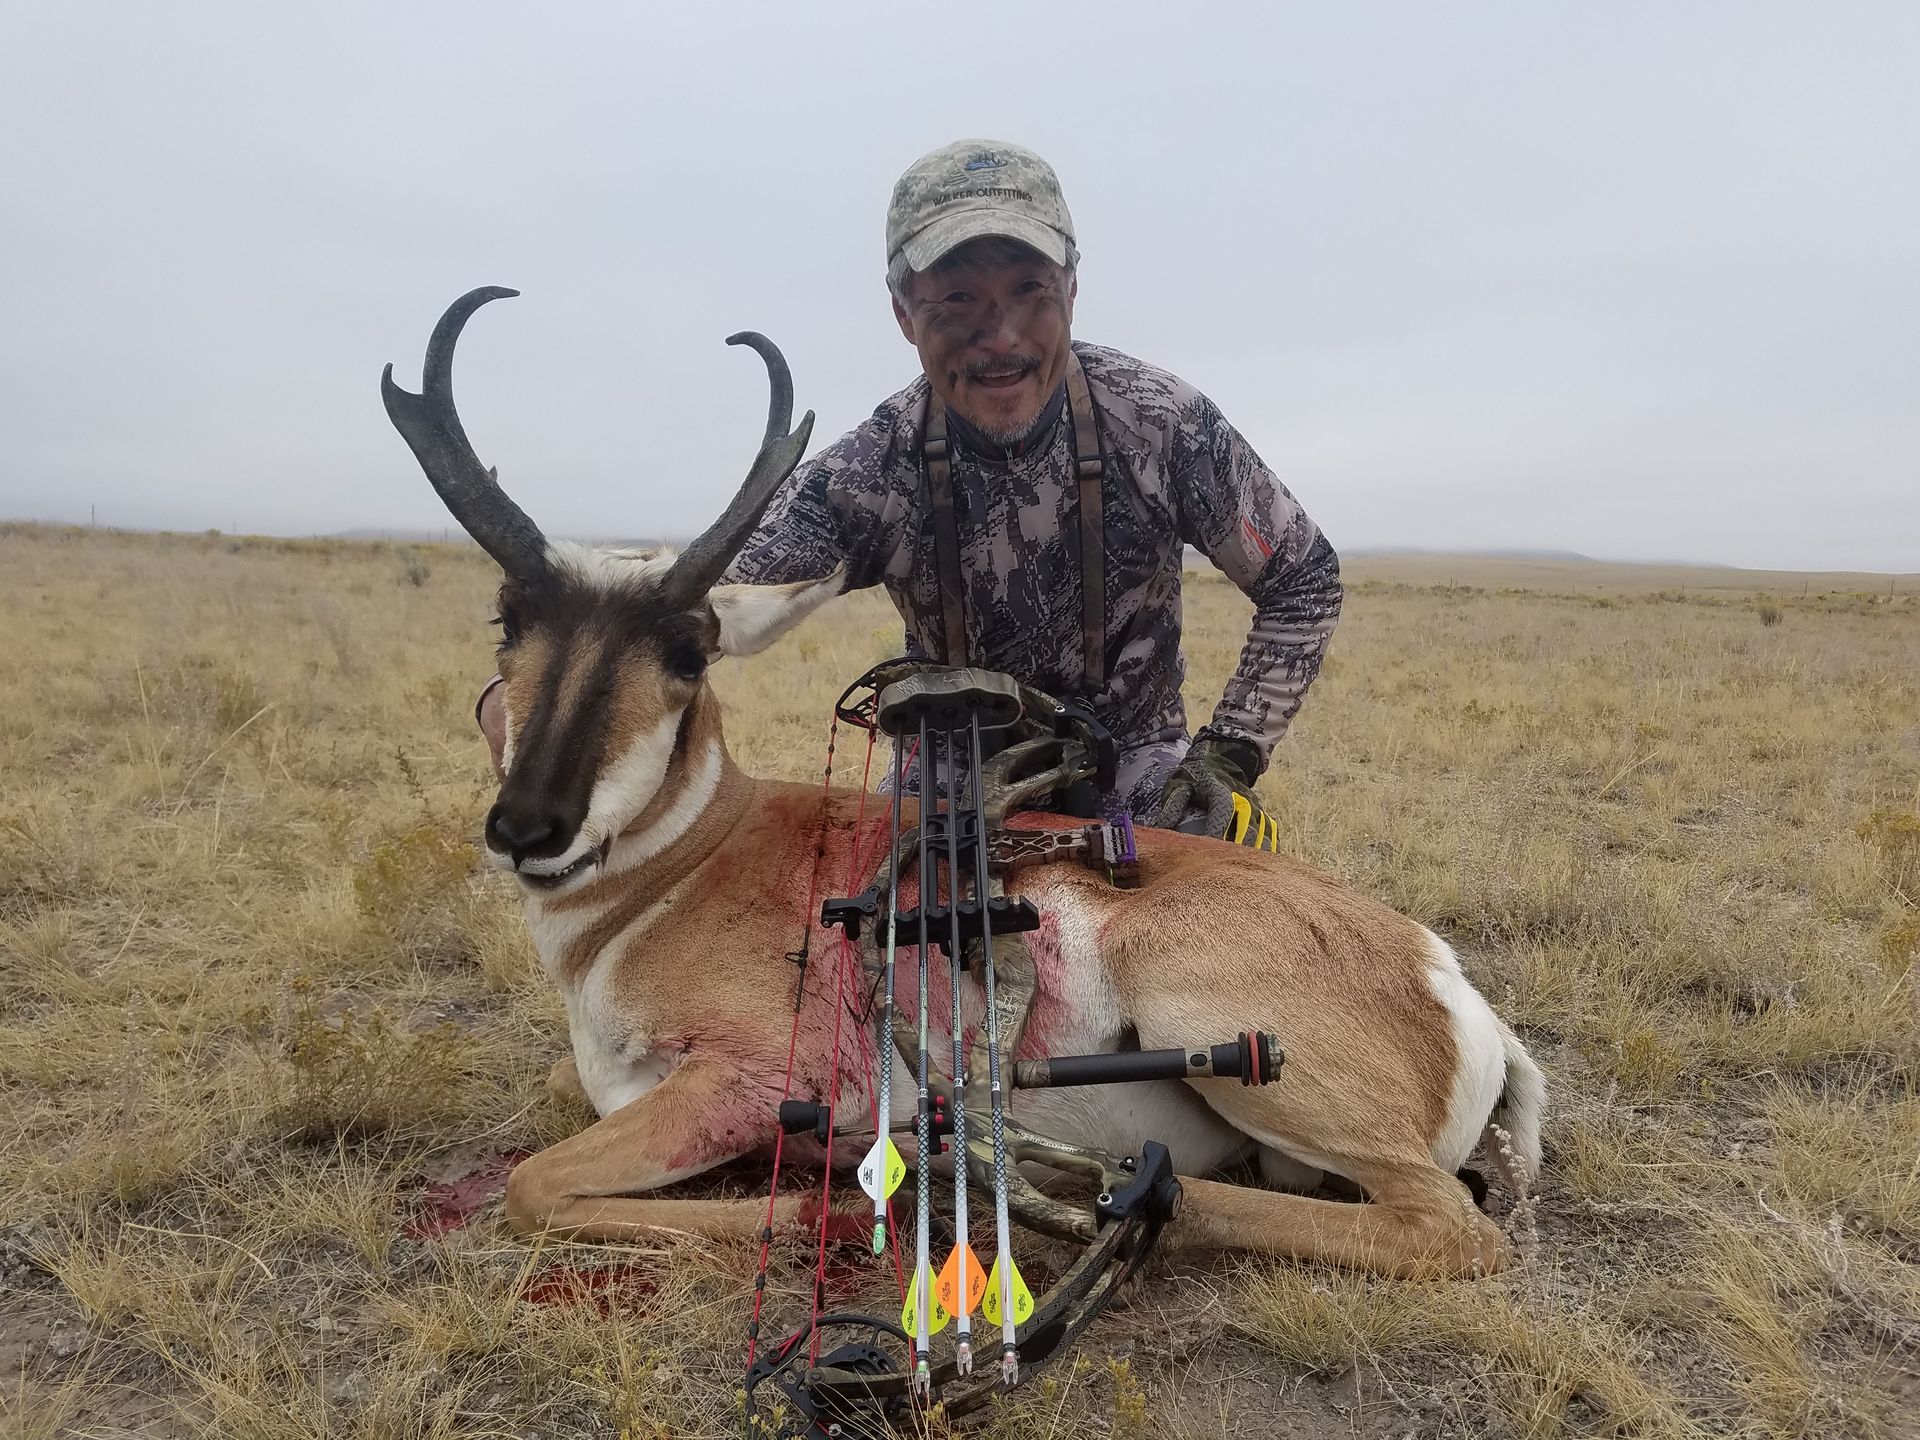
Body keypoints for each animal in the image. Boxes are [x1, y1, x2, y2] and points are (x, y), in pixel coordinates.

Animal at [382, 287, 1544, 1278]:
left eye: (688, 648)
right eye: (508, 620)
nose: (530, 826)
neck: (691, 867)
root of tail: (1446, 981)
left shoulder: (749, 1084)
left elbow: (534, 1187)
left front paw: (815, 1206)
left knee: (1445, 1227)